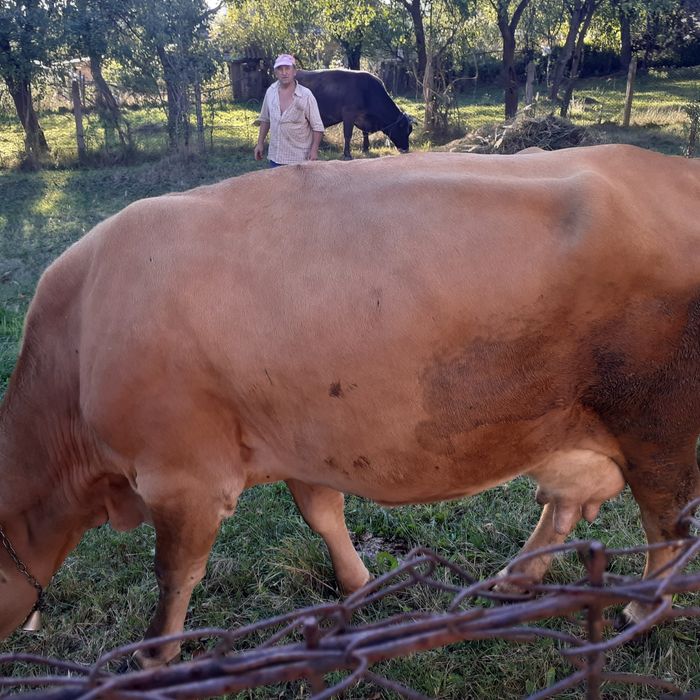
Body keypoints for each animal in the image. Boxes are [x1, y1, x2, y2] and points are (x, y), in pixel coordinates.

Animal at [1, 145, 699, 669]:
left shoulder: (182, 478)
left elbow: (175, 575)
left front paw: (154, 658)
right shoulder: (299, 440)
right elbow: (322, 514)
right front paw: (357, 586)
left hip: (658, 424)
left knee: (667, 520)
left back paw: (642, 609)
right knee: (567, 503)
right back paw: (515, 580)